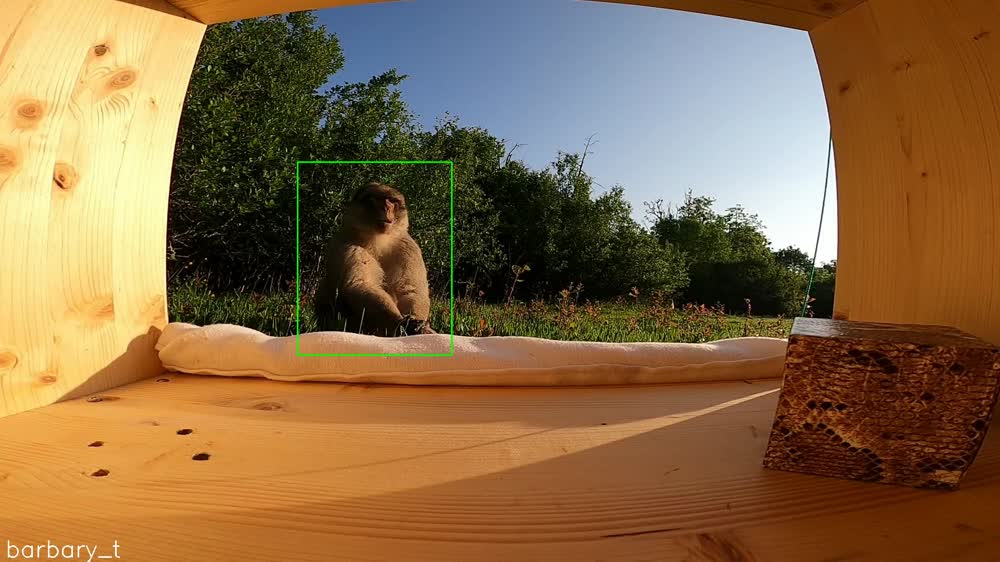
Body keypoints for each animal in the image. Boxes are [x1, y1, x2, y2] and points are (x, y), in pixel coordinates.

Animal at [313, 182, 437, 337]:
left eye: (393, 201)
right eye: (377, 199)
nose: (387, 207)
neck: (378, 239)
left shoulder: (408, 247)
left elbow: (411, 289)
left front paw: (417, 324)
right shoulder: (348, 247)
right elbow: (359, 285)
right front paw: (403, 324)